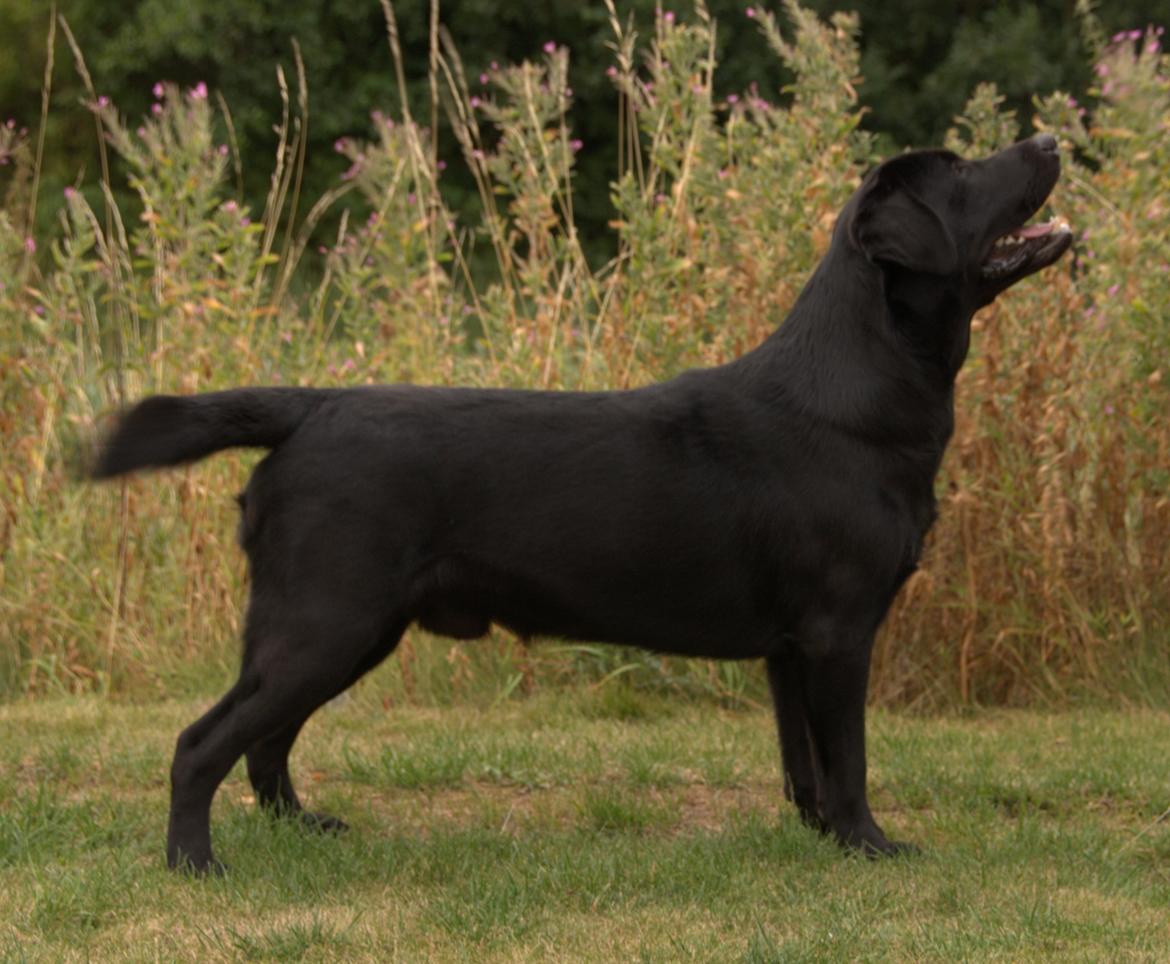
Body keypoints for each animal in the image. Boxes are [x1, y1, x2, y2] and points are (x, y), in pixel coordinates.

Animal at [93, 131, 1071, 870]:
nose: (1050, 138)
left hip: (342, 629)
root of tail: (311, 405)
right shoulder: (838, 631)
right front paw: (871, 846)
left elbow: (806, 767)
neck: (861, 388)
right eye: (961, 172)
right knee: (203, 742)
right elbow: (852, 762)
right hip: (326, 621)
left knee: (265, 739)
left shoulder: (790, 647)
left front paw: (821, 840)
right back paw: (195, 864)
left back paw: (303, 828)